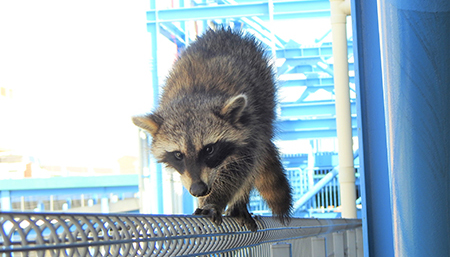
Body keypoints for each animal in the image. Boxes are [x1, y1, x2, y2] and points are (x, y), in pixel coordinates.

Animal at [133, 27, 292, 230]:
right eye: (178, 155)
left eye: (209, 149)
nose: (199, 190)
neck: (194, 95)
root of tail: (224, 31)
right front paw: (205, 201)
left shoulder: (250, 127)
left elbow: (241, 167)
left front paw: (214, 200)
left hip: (265, 102)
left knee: (255, 162)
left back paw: (239, 202)